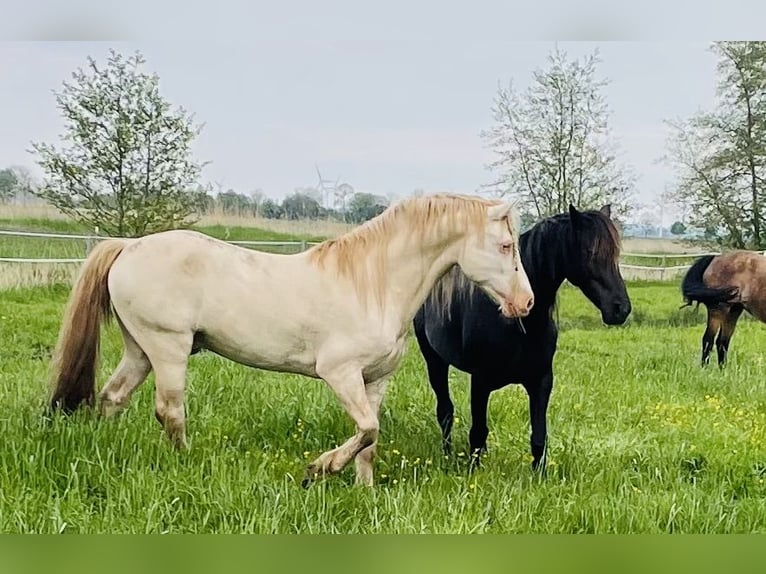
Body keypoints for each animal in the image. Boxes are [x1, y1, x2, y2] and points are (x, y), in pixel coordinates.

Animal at [49, 194, 536, 486]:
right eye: (506, 245)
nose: (526, 302)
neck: (374, 283)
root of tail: (128, 247)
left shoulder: (375, 380)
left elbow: (371, 440)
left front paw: (364, 491)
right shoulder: (340, 373)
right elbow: (367, 429)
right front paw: (321, 467)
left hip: (141, 349)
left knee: (112, 397)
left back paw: (108, 451)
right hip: (168, 347)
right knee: (169, 412)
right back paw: (186, 464)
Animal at [416, 206, 632, 472]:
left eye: (616, 253)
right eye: (589, 252)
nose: (620, 309)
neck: (519, 323)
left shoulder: (541, 382)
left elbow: (538, 438)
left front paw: (539, 475)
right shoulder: (480, 381)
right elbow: (477, 432)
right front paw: (473, 472)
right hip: (434, 360)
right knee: (445, 411)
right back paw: (446, 454)